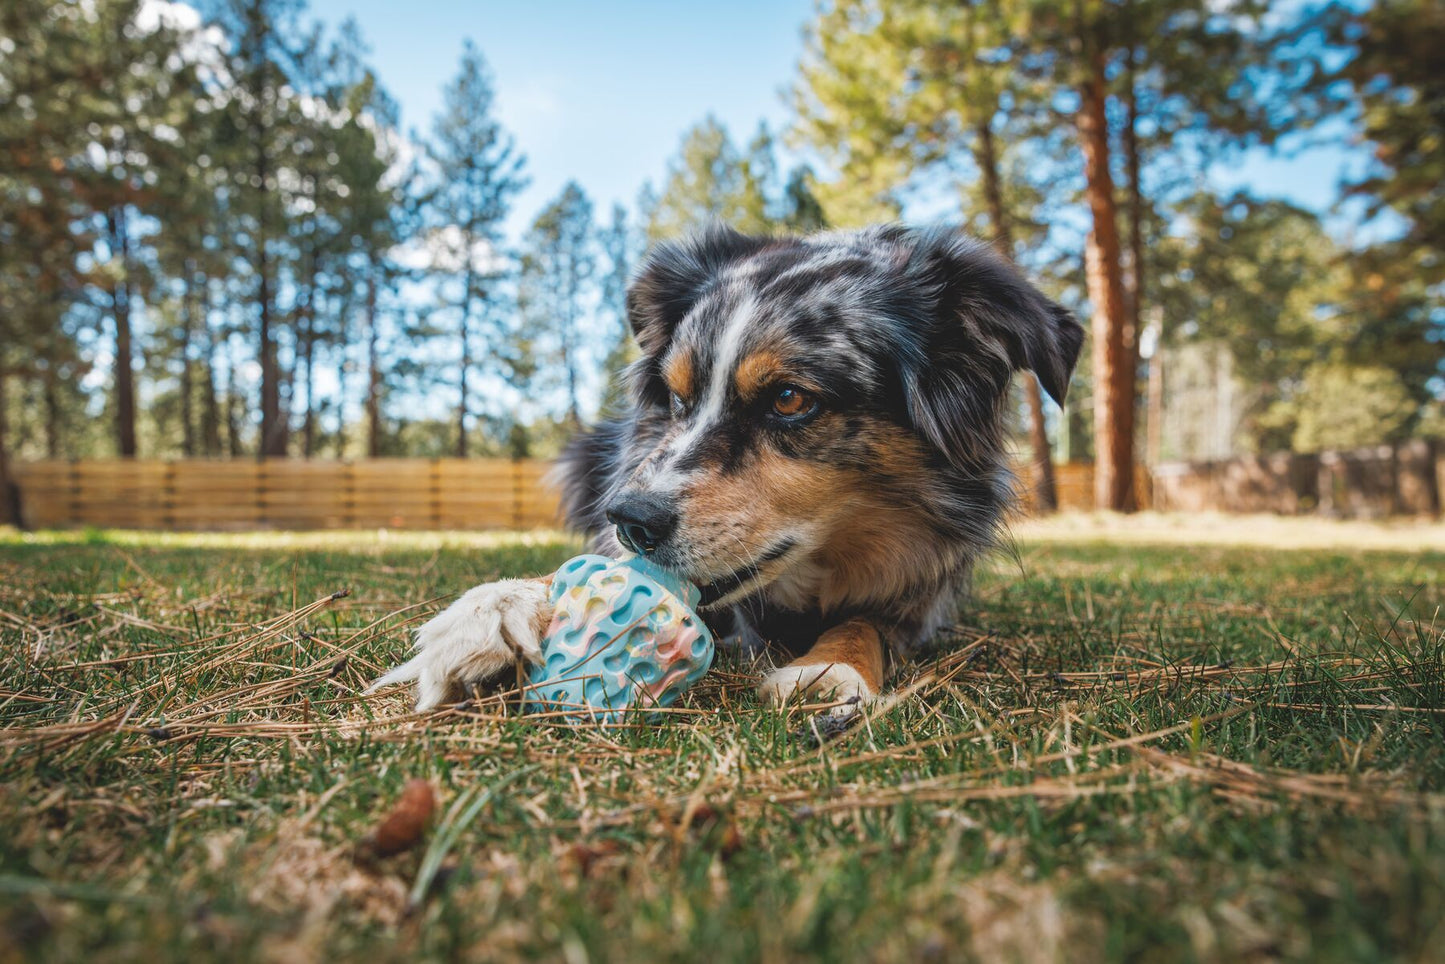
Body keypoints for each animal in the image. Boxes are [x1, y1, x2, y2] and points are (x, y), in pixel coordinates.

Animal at [372, 226, 1086, 719]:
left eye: (791, 399)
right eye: (677, 397)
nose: (628, 519)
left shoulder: (921, 597)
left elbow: (865, 624)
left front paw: (829, 666)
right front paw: (492, 611)